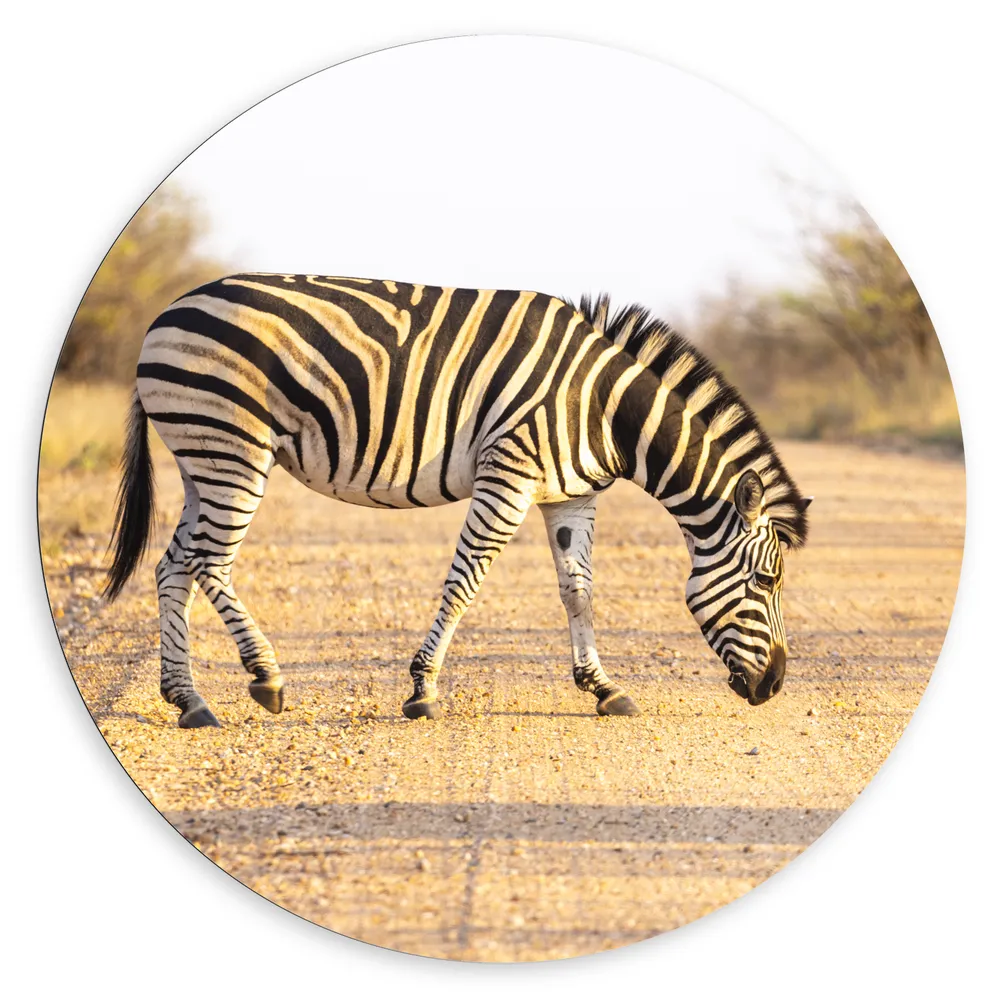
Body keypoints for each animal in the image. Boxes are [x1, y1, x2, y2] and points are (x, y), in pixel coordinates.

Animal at [103, 274, 811, 728]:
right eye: (767, 582)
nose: (776, 686)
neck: (605, 411)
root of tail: (166, 312)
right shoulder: (510, 471)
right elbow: (465, 581)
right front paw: (422, 689)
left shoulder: (570, 496)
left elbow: (578, 590)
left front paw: (603, 689)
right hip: (233, 450)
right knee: (209, 562)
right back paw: (264, 677)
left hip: (202, 458)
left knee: (173, 566)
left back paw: (188, 701)